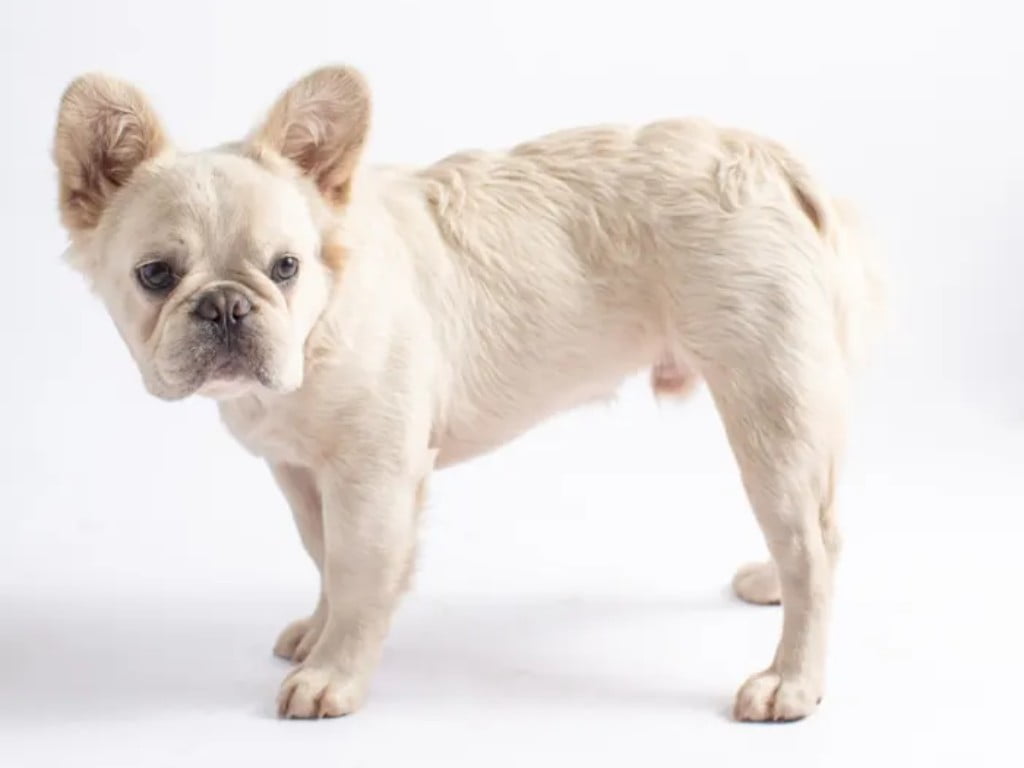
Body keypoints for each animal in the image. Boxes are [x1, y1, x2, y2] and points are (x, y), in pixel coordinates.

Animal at [49, 64, 880, 720]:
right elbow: (323, 557)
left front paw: (333, 674)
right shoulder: (300, 473)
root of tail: (764, 160)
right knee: (818, 528)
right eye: (155, 275)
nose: (225, 305)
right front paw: (319, 634)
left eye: (286, 267)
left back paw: (790, 683)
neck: (319, 327)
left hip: (769, 406)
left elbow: (360, 570)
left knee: (811, 545)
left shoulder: (375, 478)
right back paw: (772, 586)